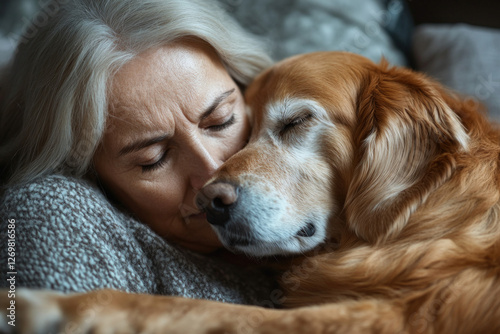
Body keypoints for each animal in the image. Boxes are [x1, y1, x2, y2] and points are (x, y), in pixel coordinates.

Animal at [2, 51, 500, 332]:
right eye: (239, 128)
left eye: (296, 121)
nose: (210, 203)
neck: (426, 212)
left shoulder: (395, 316)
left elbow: (198, 311)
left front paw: (56, 306)